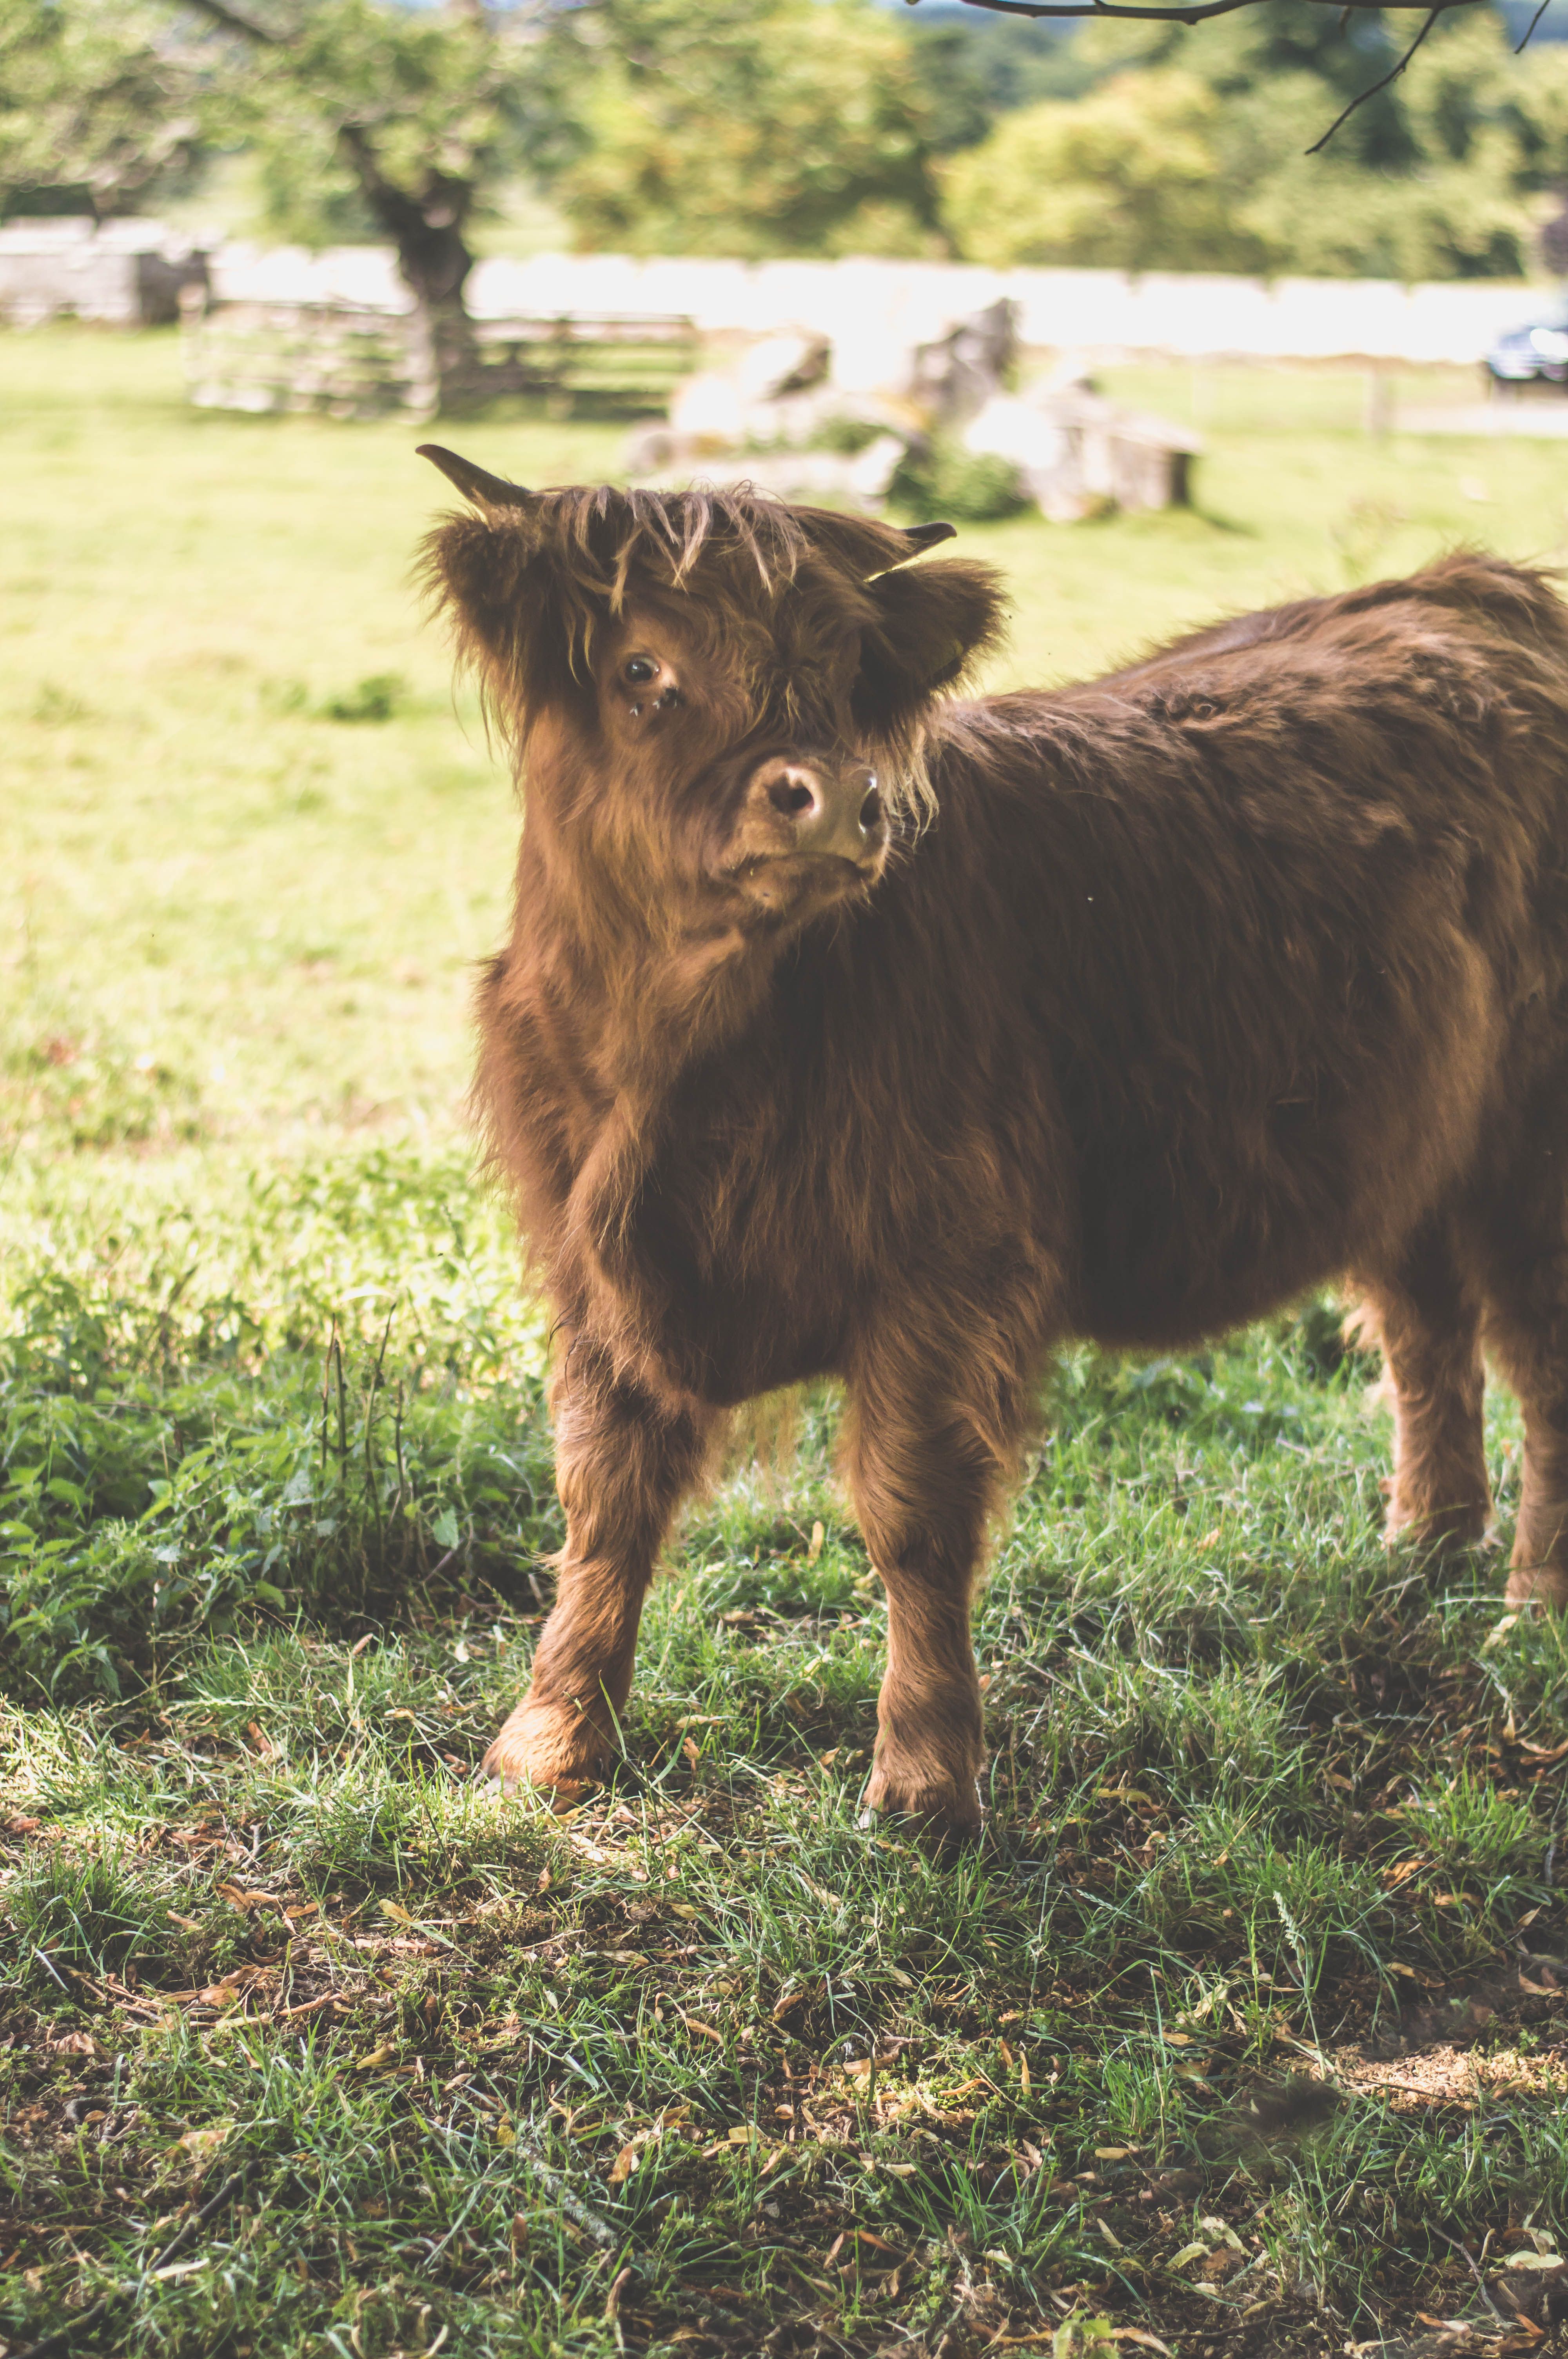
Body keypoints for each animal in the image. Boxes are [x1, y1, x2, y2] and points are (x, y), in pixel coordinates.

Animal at [418, 443, 1568, 1842]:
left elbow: (912, 1519)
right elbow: (602, 1500)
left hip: (1531, 1149)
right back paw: (1425, 1550)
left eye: (843, 673)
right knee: (1424, 1333)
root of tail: (1472, 588)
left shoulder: (943, 1268)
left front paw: (924, 1785)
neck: (679, 1061)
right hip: (1407, 1140)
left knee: (1540, 1367)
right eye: (642, 669)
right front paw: (551, 1739)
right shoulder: (587, 1266)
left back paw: (1529, 1607)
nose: (836, 799)